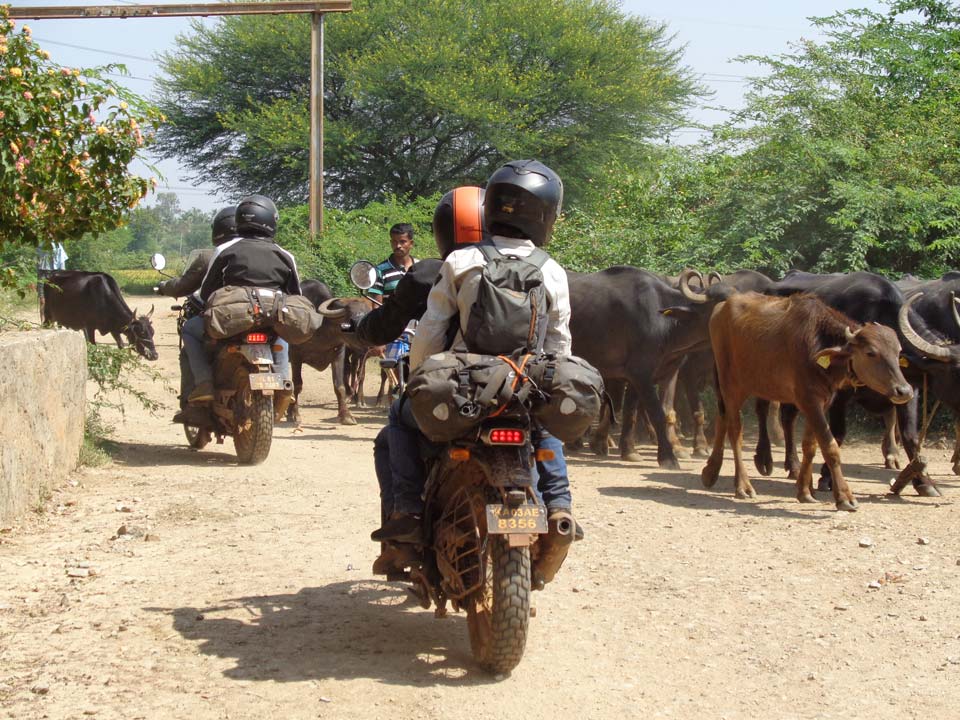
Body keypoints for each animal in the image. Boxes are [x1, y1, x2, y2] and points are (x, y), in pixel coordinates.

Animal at [700, 292, 912, 512]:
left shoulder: (821, 402)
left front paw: (804, 491)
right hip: (732, 386)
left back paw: (710, 472)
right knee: (735, 431)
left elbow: (810, 445)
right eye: (871, 352)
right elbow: (830, 446)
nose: (904, 390)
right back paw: (743, 485)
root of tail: (721, 308)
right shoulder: (809, 401)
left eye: (897, 352)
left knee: (722, 418)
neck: (818, 343)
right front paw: (844, 496)